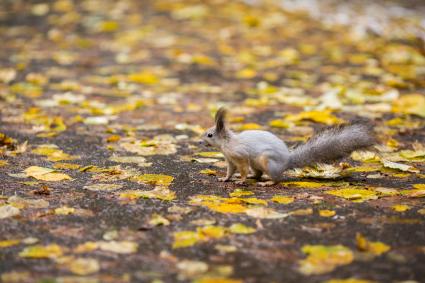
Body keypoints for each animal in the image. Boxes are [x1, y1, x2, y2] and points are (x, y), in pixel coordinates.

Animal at [201, 107, 374, 186]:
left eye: (210, 135)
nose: (200, 142)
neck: (227, 142)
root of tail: (286, 162)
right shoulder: (230, 160)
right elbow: (230, 171)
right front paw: (225, 178)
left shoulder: (240, 155)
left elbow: (242, 168)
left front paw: (242, 180)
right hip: (257, 163)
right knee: (258, 174)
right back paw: (254, 177)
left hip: (265, 160)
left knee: (277, 179)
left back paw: (268, 182)